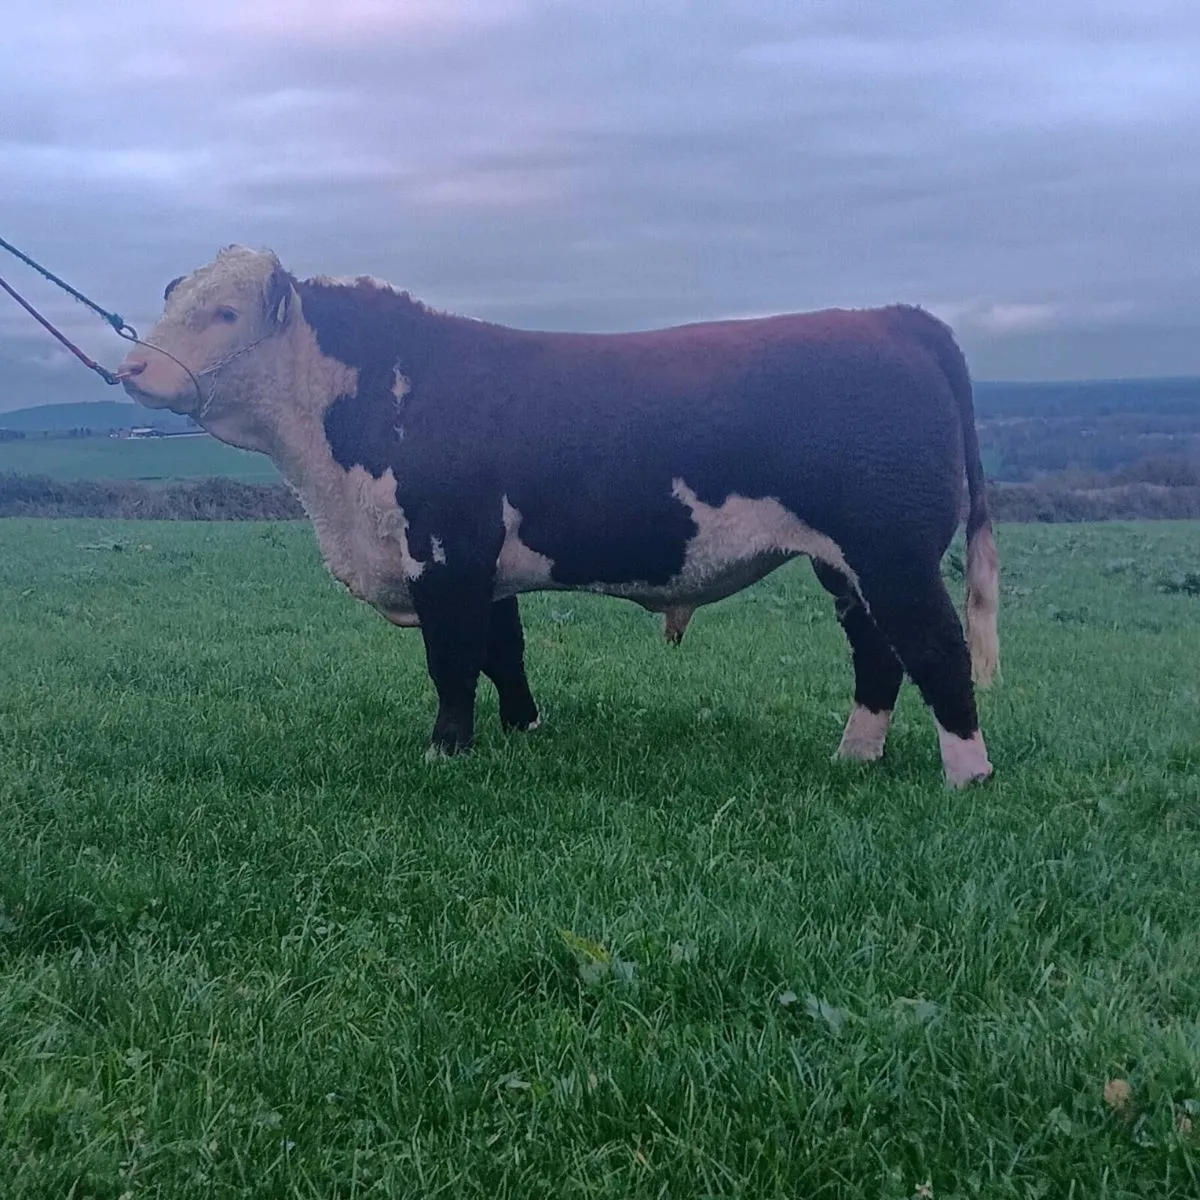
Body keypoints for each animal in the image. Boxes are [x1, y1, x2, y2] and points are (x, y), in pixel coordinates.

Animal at [117, 245, 1000, 786]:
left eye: (224, 314)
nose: (131, 368)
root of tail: (890, 317)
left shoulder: (444, 553)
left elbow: (451, 663)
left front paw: (445, 752)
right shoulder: (486, 569)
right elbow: (502, 655)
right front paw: (523, 731)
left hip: (892, 551)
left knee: (936, 648)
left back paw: (967, 775)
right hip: (842, 564)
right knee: (878, 655)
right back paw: (853, 756)